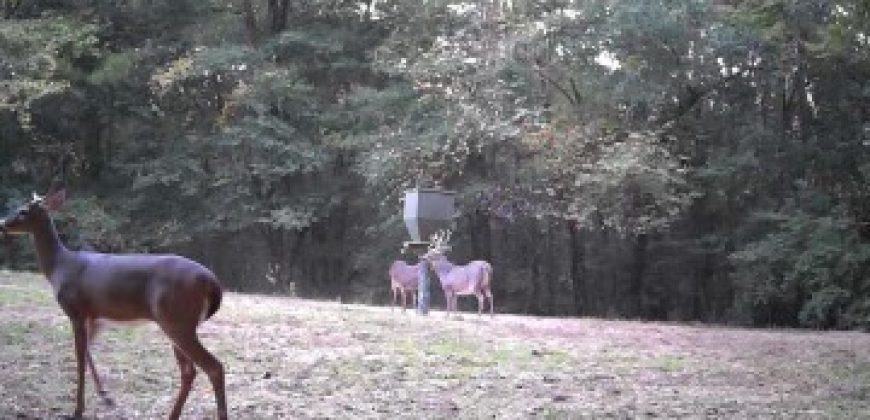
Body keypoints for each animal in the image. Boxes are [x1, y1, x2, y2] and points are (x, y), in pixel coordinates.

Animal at [0, 189, 228, 420]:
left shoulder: (75, 310)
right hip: (177, 323)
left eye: (23, 211)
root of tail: (212, 282)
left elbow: (79, 357)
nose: (2, 224)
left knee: (213, 367)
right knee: (189, 371)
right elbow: (87, 352)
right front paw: (105, 395)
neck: (59, 268)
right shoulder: (95, 317)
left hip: (177, 320)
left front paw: (78, 410)